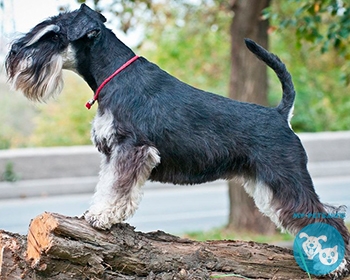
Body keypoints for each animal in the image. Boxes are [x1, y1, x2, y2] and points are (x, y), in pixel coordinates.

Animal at [4, 3, 348, 276]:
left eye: (54, 35)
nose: (14, 54)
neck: (115, 75)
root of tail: (280, 114)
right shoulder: (114, 152)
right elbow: (107, 184)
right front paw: (97, 212)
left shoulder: (132, 148)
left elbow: (116, 187)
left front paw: (102, 216)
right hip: (268, 186)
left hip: (287, 178)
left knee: (324, 215)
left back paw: (337, 263)